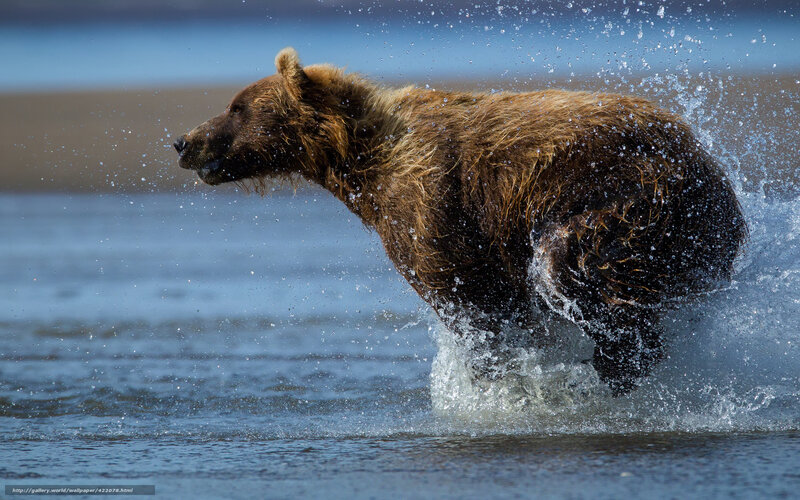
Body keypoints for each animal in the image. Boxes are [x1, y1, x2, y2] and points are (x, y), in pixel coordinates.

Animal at [174, 47, 747, 395]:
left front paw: (500, 382)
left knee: (573, 265)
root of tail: (711, 167)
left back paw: (608, 363)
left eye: (238, 106)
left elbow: (474, 303)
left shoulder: (430, 207)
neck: (361, 161)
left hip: (635, 199)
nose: (183, 140)